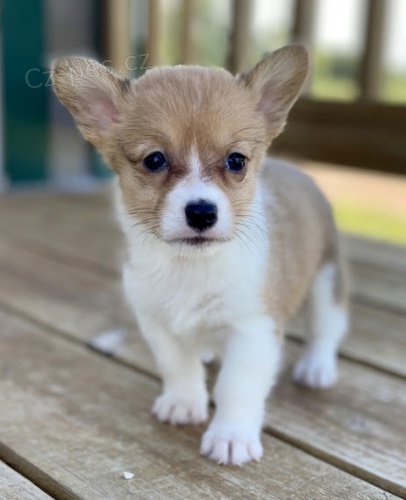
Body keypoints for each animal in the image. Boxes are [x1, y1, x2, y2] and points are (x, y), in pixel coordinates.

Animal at [52, 45, 348, 466]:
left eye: (236, 161)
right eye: (154, 160)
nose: (202, 212)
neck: (189, 268)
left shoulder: (252, 329)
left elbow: (236, 386)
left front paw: (231, 436)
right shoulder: (158, 323)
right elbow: (178, 367)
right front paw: (183, 403)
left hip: (326, 279)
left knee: (328, 328)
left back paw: (317, 367)